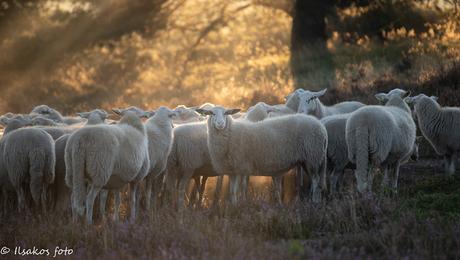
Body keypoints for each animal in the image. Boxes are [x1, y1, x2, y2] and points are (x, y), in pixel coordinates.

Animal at [197, 105, 328, 203]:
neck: (231, 133)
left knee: (316, 181)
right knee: (316, 181)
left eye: (226, 113)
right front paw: (232, 207)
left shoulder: (240, 167)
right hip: (308, 160)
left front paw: (236, 209)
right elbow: (231, 191)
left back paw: (315, 202)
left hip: (313, 156)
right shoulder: (231, 170)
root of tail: (321, 127)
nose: (220, 123)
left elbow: (235, 191)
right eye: (211, 113)